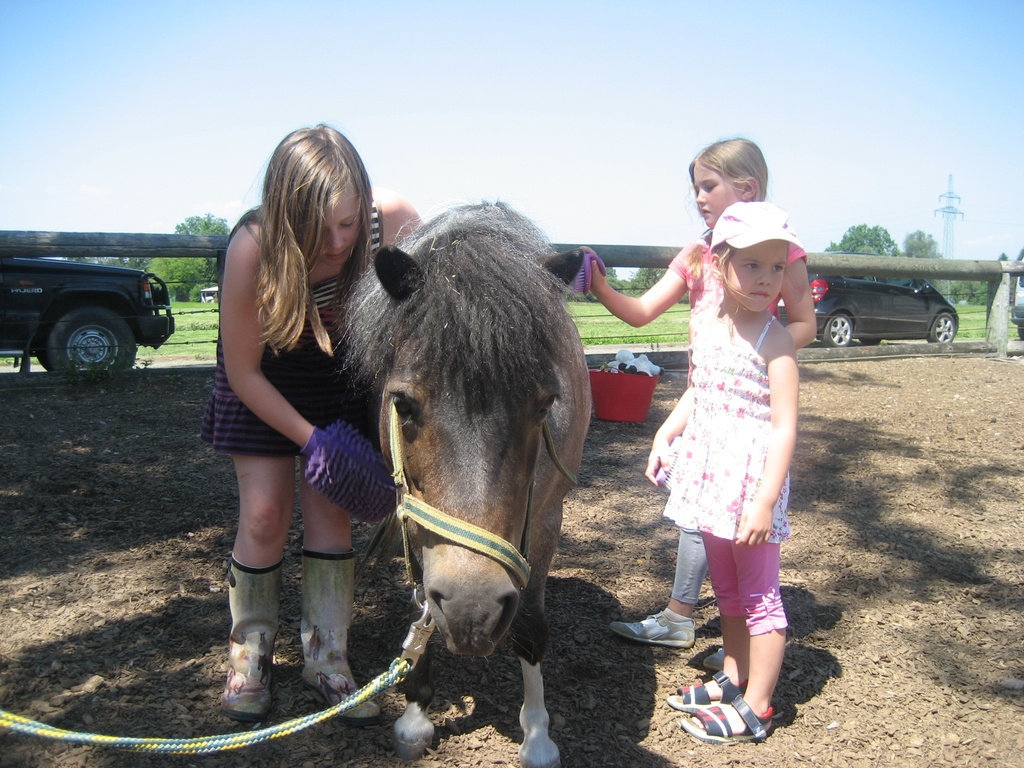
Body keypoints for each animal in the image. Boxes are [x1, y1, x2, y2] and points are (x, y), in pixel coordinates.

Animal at [347, 201, 591, 768]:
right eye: (402, 403)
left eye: (545, 405)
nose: (472, 610)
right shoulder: (415, 518)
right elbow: (419, 610)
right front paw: (415, 715)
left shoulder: (546, 521)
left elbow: (530, 624)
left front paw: (537, 736)